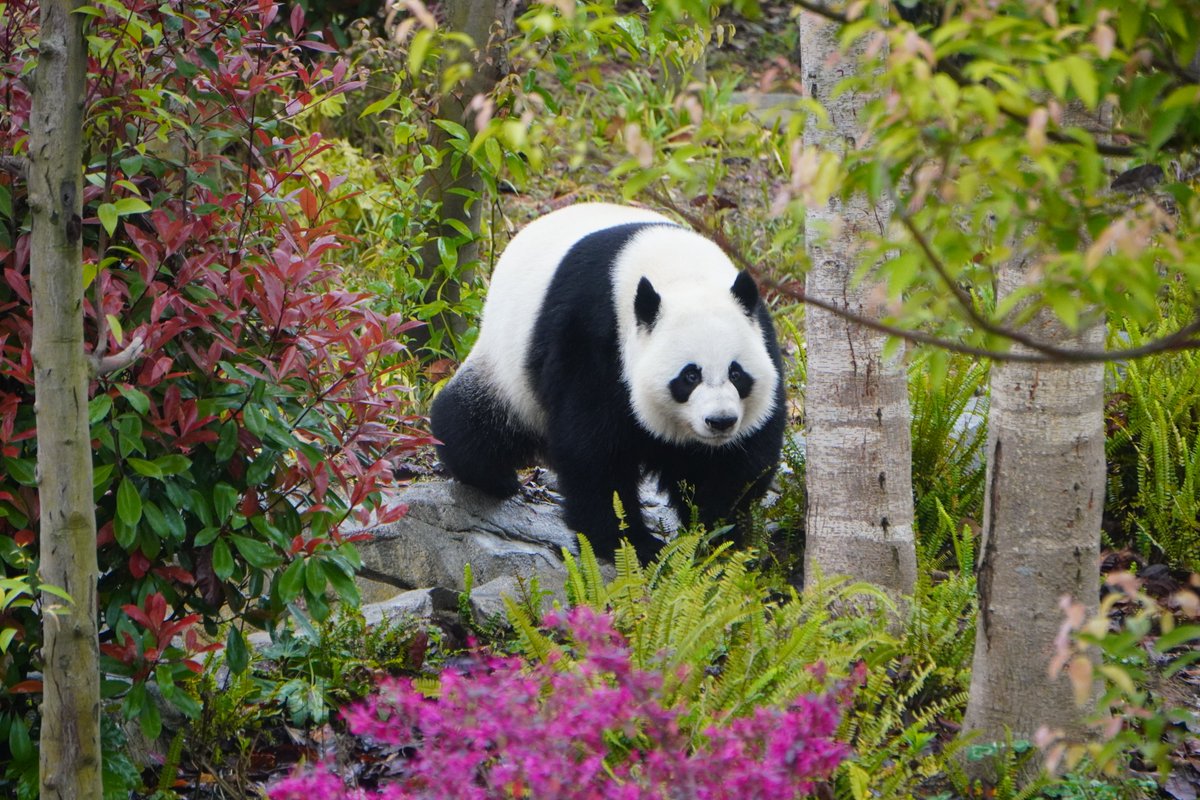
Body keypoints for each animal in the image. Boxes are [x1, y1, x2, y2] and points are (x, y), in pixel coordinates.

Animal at [430, 202, 786, 561]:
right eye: (690, 376)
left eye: (736, 373)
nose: (720, 421)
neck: (681, 274)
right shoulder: (593, 334)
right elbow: (593, 449)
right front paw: (629, 543)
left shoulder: (761, 332)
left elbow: (740, 460)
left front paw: (715, 533)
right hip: (509, 364)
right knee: (475, 424)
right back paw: (493, 477)